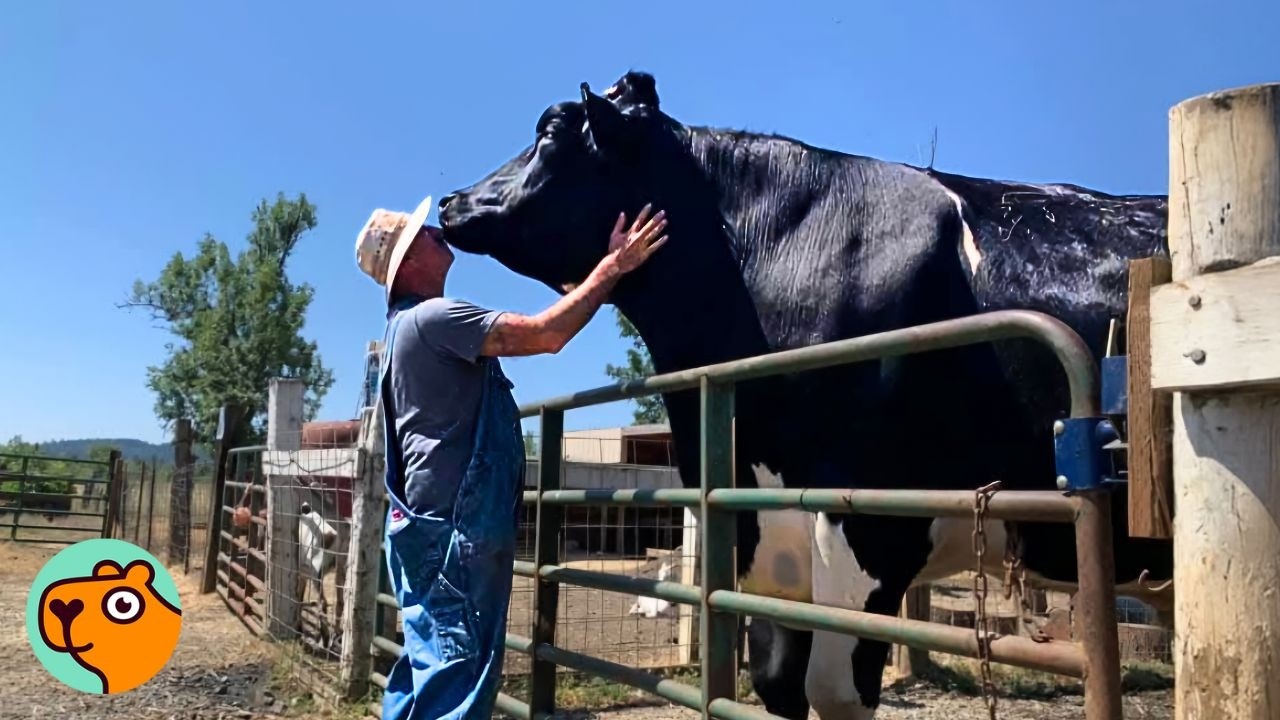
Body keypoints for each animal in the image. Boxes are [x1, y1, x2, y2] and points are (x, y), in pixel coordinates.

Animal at [436, 70, 1173, 720]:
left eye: (551, 129)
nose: (449, 201)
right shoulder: (767, 551)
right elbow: (776, 683)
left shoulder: (871, 525)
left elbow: (833, 692)